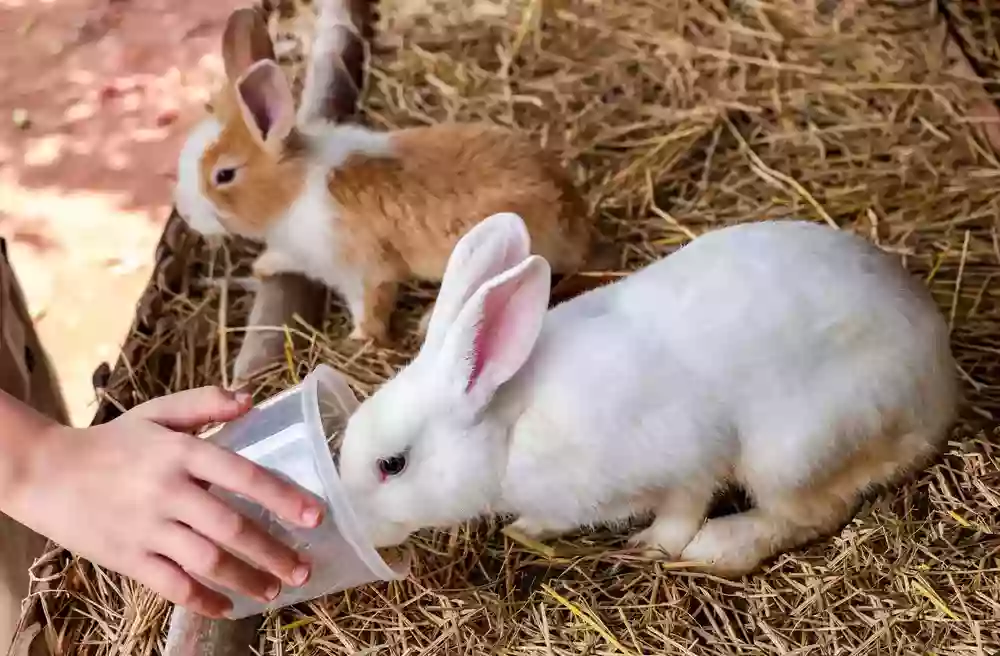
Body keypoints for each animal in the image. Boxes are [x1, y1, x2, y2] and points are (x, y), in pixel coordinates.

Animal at [175, 10, 588, 344]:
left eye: (224, 174)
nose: (184, 213)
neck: (294, 188)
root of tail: (577, 219)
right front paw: (263, 265)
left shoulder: (363, 271)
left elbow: (371, 304)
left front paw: (359, 339)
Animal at [338, 214, 960, 576]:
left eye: (392, 465)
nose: (357, 529)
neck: (509, 428)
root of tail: (939, 383)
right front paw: (526, 529)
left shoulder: (686, 456)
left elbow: (683, 506)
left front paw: (655, 547)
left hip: (795, 450)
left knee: (812, 512)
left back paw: (719, 549)